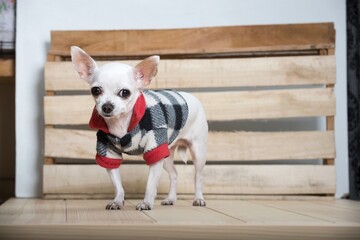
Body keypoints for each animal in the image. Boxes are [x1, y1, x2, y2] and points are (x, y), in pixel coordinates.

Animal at [70, 46, 208, 210]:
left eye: (125, 92)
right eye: (96, 90)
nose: (107, 106)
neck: (121, 123)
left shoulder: (155, 148)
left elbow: (150, 184)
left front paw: (146, 203)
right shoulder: (109, 153)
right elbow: (117, 185)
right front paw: (118, 201)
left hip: (197, 151)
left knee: (198, 177)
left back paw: (199, 198)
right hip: (167, 153)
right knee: (174, 174)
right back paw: (171, 199)